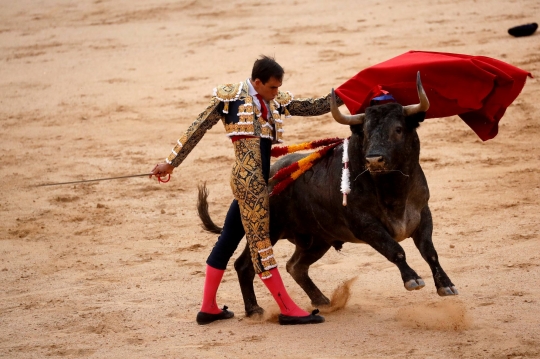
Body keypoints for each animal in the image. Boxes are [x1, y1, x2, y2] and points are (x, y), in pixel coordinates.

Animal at [196, 74, 458, 318]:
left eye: (398, 129)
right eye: (365, 132)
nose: (374, 160)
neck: (393, 189)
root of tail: (268, 175)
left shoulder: (422, 214)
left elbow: (430, 252)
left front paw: (446, 286)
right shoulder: (365, 225)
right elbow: (395, 249)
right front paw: (413, 279)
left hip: (317, 239)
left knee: (296, 266)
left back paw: (322, 300)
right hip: (268, 228)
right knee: (246, 265)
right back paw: (254, 310)